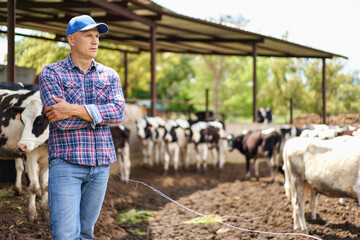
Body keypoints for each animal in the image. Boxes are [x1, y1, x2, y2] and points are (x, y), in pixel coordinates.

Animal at [0, 86, 50, 221]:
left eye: (39, 121)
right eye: (22, 120)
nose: (22, 145)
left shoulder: (47, 160)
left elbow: (45, 186)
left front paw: (46, 214)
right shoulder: (28, 157)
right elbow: (33, 186)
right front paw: (32, 215)